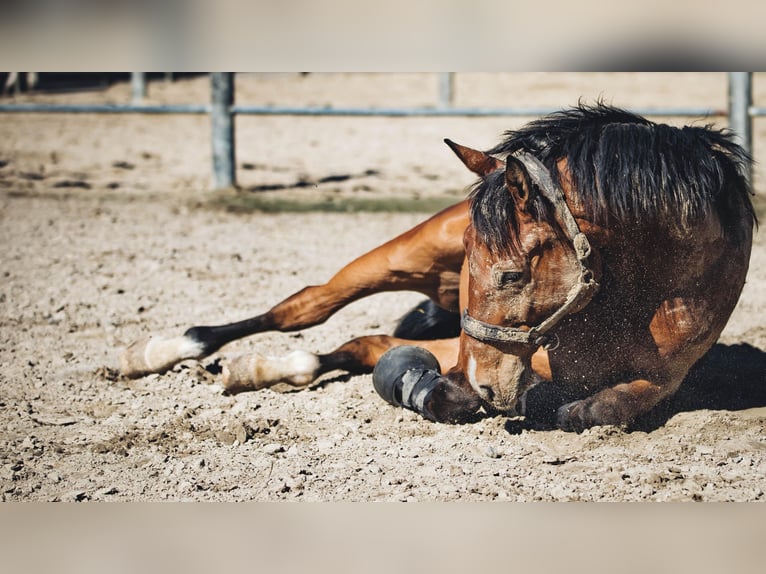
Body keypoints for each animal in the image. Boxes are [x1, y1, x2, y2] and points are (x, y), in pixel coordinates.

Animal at [120, 103, 756, 431]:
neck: (630, 296)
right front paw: (422, 387)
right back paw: (161, 352)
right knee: (306, 306)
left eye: (511, 276)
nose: (483, 381)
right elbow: (448, 389)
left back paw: (259, 369)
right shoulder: (483, 355)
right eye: (487, 269)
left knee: (355, 341)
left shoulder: (663, 376)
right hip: (402, 256)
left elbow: (601, 406)